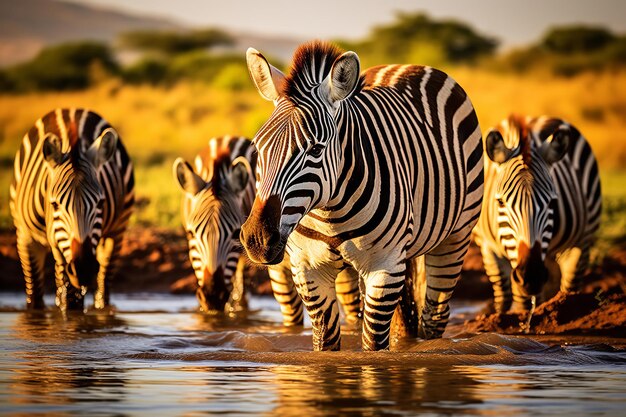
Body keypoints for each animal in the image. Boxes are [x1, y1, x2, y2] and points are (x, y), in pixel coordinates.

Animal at [8, 109, 134, 310]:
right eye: (55, 204)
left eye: (100, 203)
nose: (83, 268)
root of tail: (72, 109)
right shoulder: (26, 238)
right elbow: (35, 296)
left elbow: (73, 301)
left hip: (117, 231)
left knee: (103, 283)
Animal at [239, 40, 482, 350]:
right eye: (257, 148)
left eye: (316, 149)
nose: (257, 240)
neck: (329, 213)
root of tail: (407, 65)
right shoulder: (308, 269)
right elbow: (326, 341)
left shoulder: (385, 267)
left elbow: (373, 345)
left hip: (456, 236)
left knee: (435, 314)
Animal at [472, 115, 600, 310]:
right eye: (500, 202)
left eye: (552, 202)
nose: (531, 277)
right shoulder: (487, 247)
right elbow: (512, 294)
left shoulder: (578, 246)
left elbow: (568, 289)